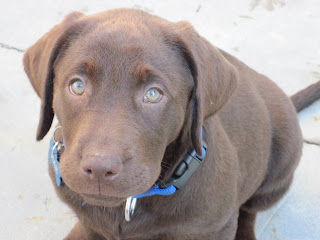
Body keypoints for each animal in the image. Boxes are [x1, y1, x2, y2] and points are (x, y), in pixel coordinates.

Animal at [23, 8, 320, 239]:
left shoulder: (215, 228)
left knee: (249, 210)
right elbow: (88, 225)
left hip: (277, 175)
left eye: (154, 94)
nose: (99, 168)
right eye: (77, 86)